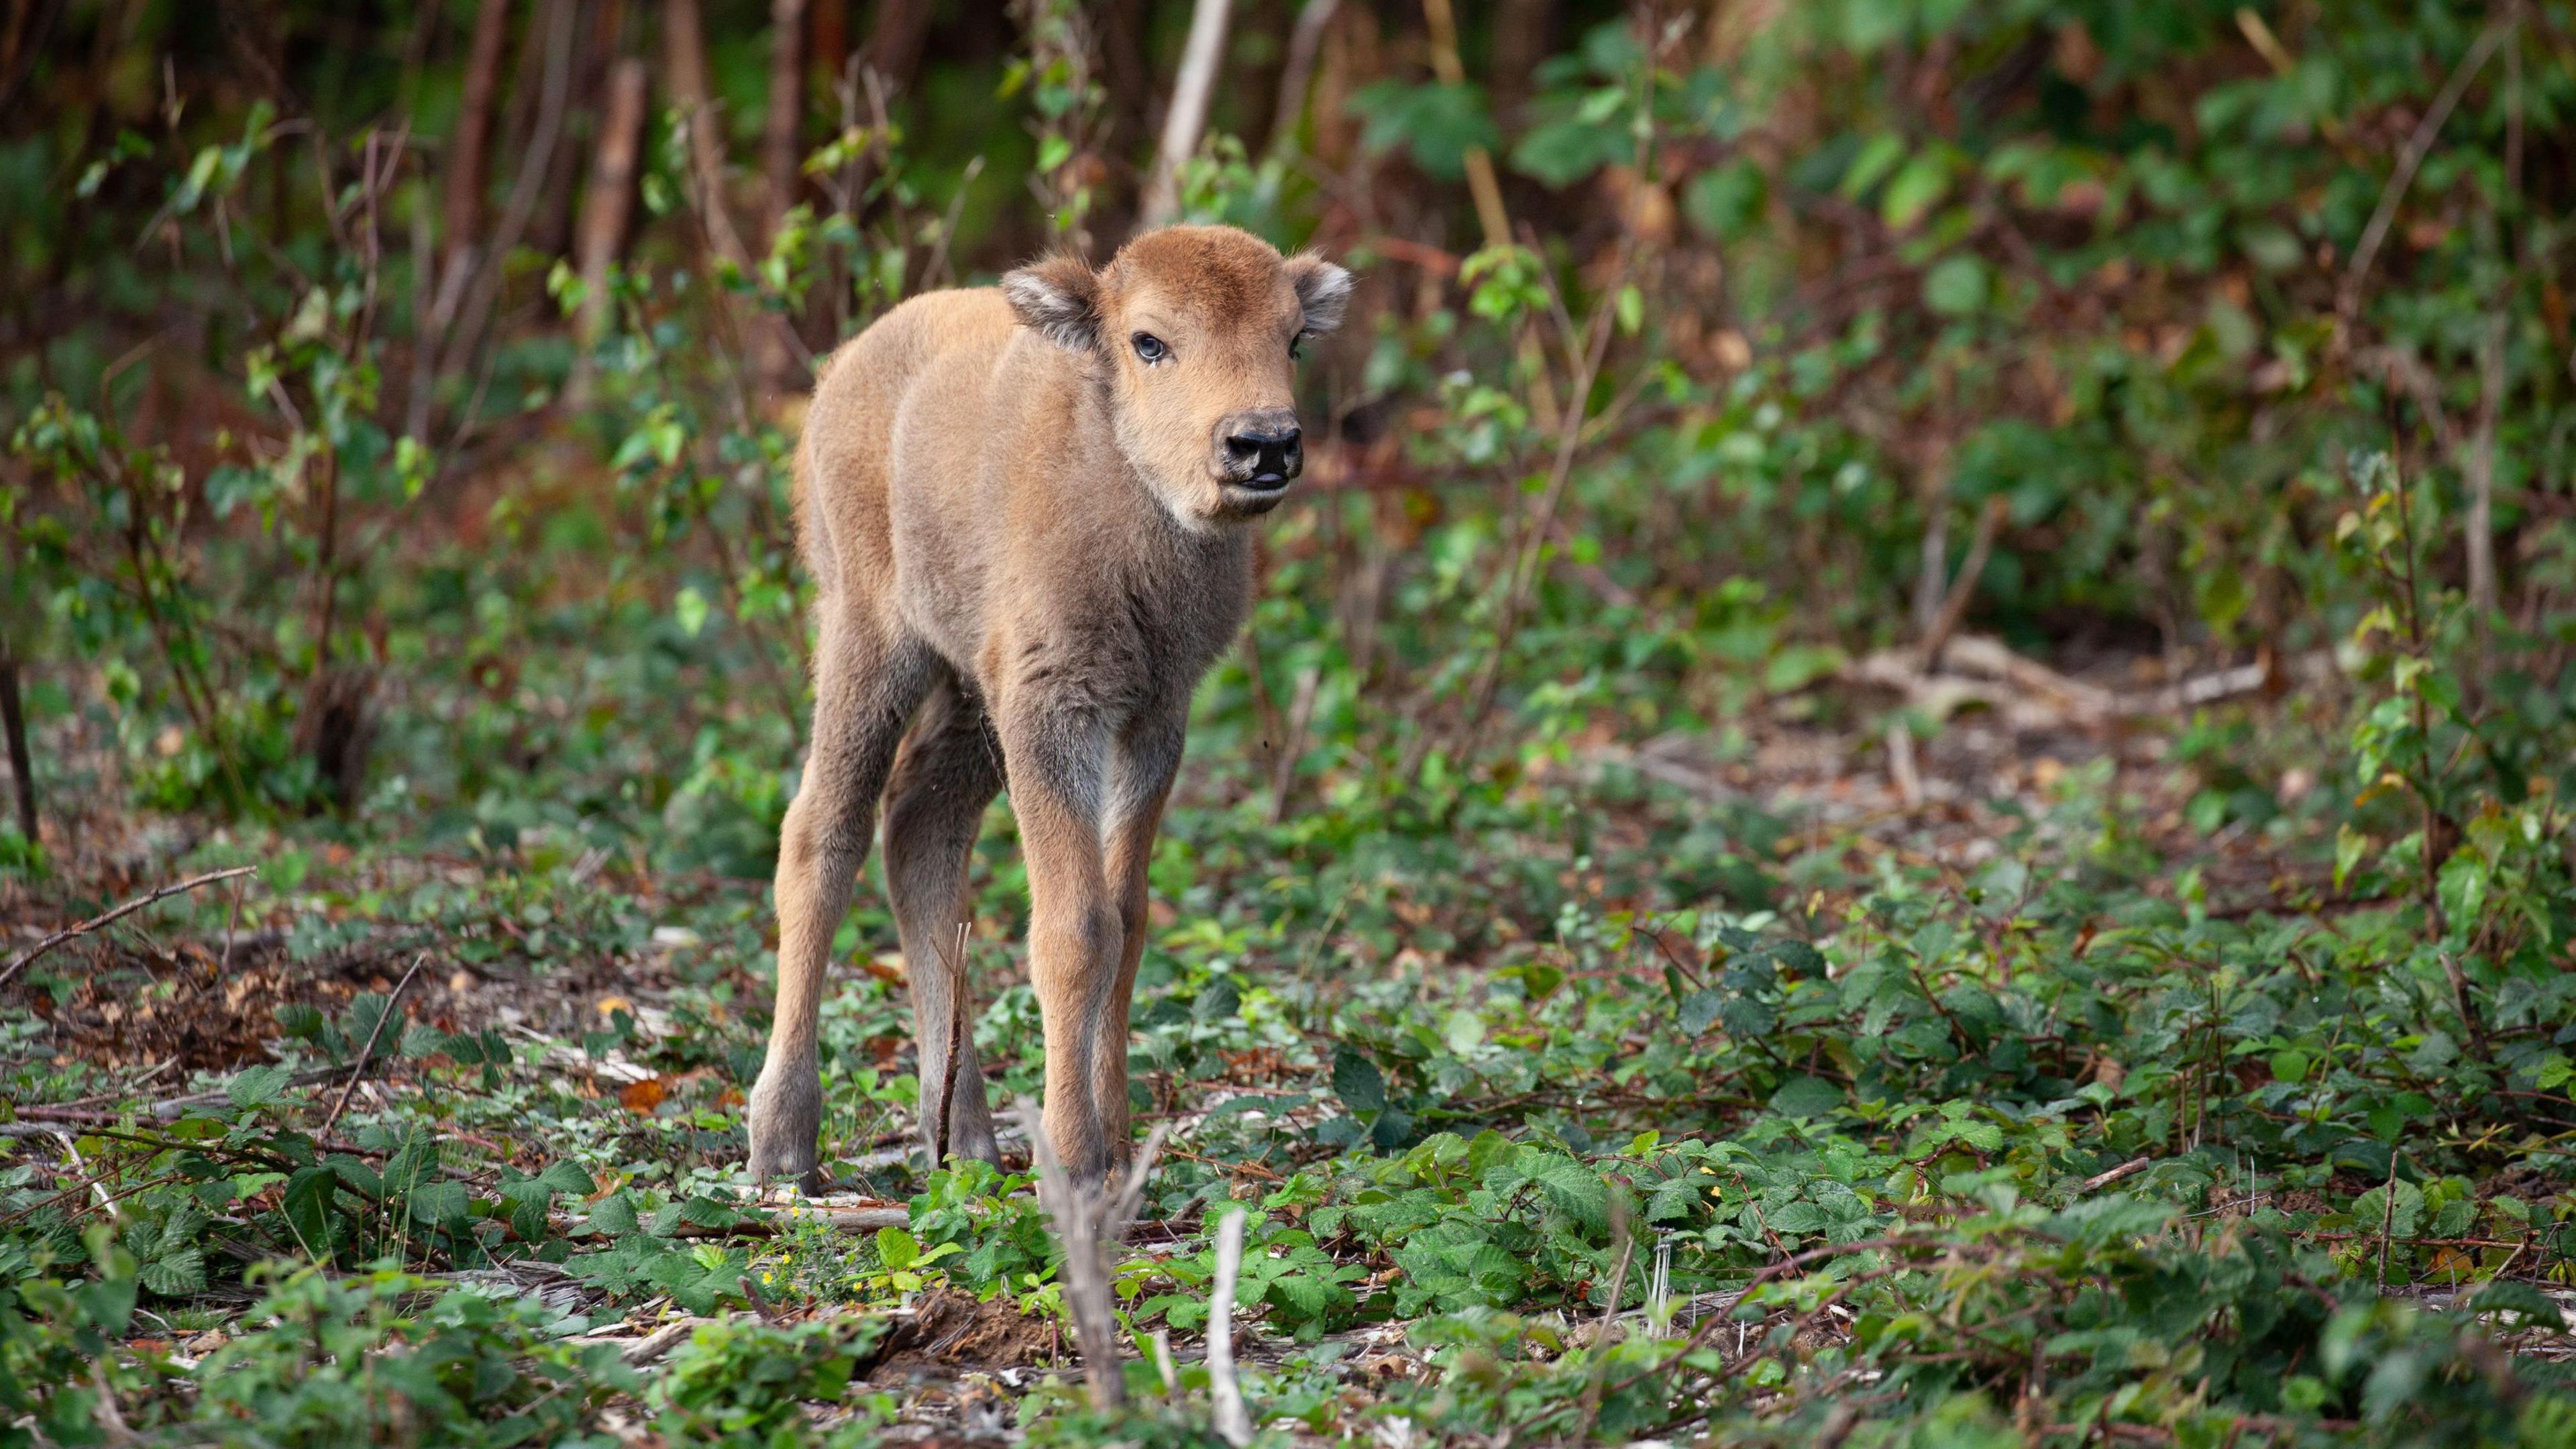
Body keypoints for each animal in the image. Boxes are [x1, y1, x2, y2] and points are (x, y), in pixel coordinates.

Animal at [741, 220, 1360, 1181]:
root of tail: (842, 370)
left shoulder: (1154, 716)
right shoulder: (1051, 710)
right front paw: (1072, 1160)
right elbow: (1075, 930)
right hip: (868, 641)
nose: (1263, 444)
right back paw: (783, 1142)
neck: (1117, 475)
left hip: (968, 697)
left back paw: (963, 1135)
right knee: (822, 834)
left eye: (1293, 339)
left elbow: (1128, 920)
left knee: (920, 831)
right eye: (1150, 342)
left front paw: (1117, 1145)